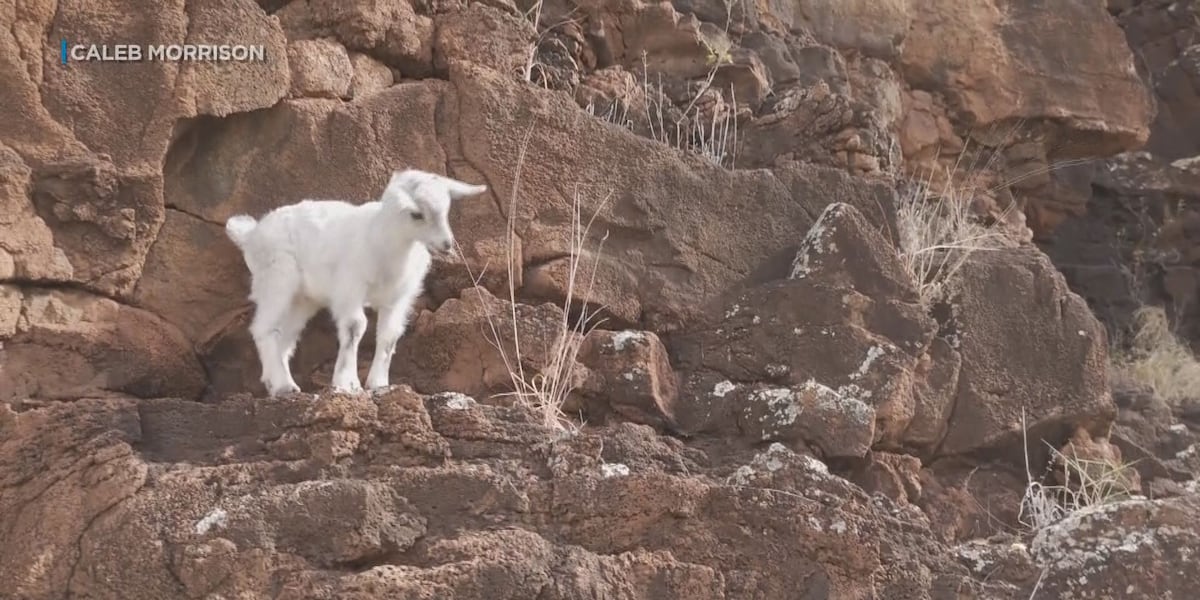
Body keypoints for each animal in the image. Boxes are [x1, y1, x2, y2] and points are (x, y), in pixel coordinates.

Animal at [225, 168, 487, 398]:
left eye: (446, 210)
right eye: (417, 214)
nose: (447, 244)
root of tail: (250, 234)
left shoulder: (397, 299)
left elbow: (389, 336)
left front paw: (379, 383)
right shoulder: (349, 287)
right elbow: (355, 327)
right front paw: (346, 382)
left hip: (302, 299)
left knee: (285, 338)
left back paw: (280, 383)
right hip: (276, 277)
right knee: (264, 328)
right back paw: (282, 386)